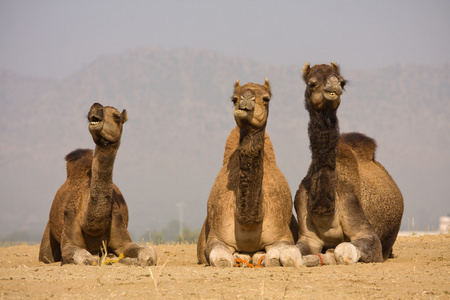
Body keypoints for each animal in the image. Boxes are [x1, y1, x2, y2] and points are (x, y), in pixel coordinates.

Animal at [39, 103, 158, 268]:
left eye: (116, 116)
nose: (95, 107)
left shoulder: (122, 237)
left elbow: (149, 253)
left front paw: (128, 259)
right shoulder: (69, 236)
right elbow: (86, 258)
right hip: (48, 237)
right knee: (47, 256)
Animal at [197, 79, 302, 268]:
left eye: (266, 99)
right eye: (234, 98)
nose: (246, 99)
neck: (249, 224)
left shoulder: (283, 236)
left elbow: (273, 259)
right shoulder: (216, 238)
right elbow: (223, 260)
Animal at [296, 62, 404, 264]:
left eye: (342, 82)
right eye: (312, 83)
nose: (333, 85)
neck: (325, 211)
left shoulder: (364, 228)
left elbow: (343, 249)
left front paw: (327, 255)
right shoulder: (308, 236)